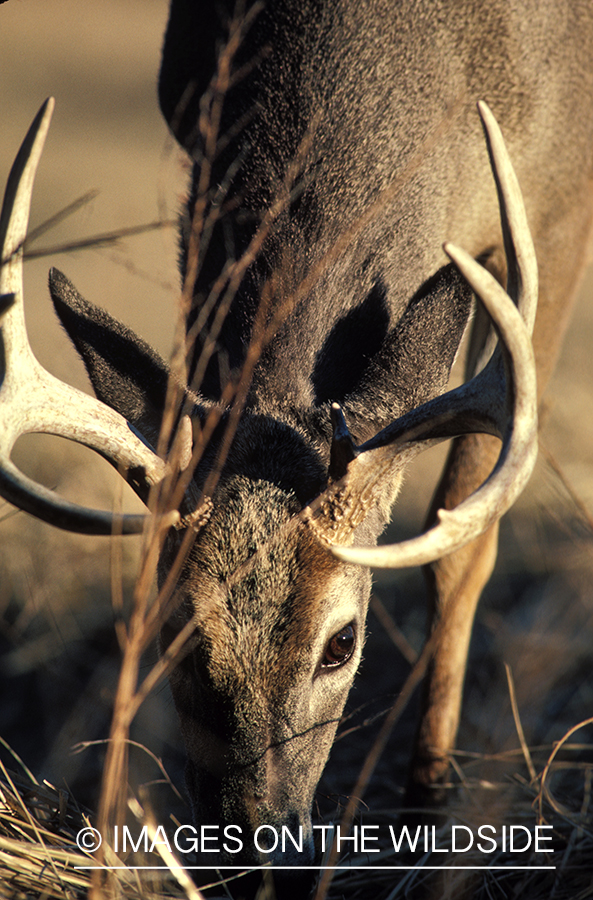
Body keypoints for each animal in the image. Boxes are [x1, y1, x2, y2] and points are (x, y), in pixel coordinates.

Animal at [1, 0, 592, 888]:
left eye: (341, 645)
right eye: (175, 628)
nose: (256, 849)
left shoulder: (558, 209)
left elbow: (460, 542)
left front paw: (430, 821)